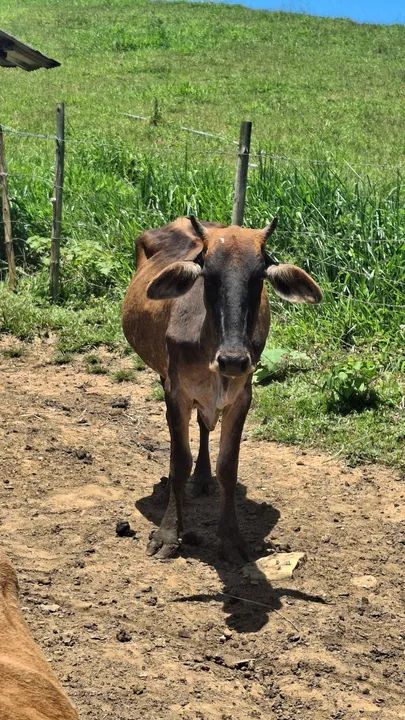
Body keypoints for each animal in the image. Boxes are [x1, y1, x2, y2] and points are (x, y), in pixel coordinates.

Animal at [122, 216, 321, 563]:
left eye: (259, 277)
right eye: (209, 275)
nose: (233, 360)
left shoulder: (242, 397)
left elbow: (228, 467)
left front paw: (231, 539)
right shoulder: (176, 392)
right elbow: (179, 462)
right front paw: (168, 534)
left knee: (204, 426)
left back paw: (203, 479)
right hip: (163, 376)